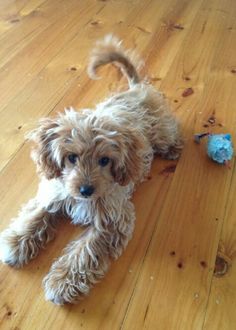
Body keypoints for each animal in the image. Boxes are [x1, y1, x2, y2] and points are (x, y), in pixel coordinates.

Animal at [0, 34, 183, 304]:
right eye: (71, 157)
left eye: (105, 161)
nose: (86, 190)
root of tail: (135, 89)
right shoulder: (54, 192)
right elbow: (37, 214)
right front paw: (16, 242)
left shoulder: (113, 220)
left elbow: (85, 251)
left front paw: (62, 281)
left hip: (160, 132)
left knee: (173, 129)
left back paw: (174, 148)